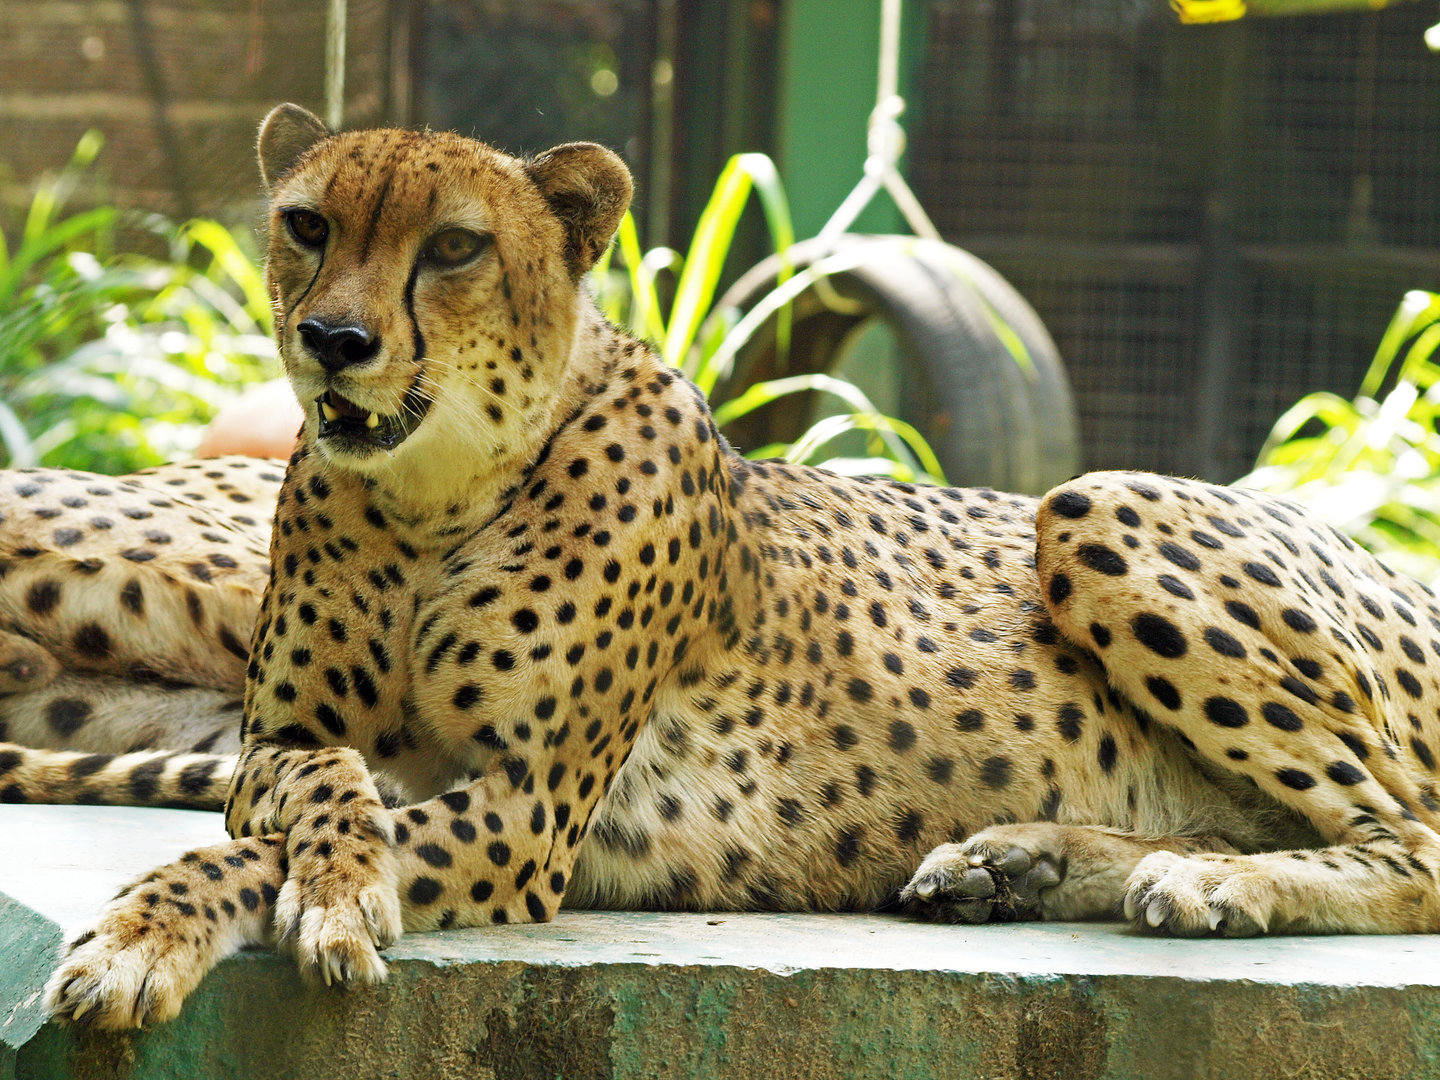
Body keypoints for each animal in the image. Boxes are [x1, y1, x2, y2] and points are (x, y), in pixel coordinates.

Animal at [4, 103, 1437, 1031]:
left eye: (455, 246)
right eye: (306, 223)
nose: (335, 341)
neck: (435, 497)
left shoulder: (529, 813)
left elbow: (265, 857)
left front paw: (181, 927)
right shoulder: (276, 746)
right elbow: (321, 792)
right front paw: (309, 885)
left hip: (1096, 503)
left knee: (1408, 842)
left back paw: (1207, 879)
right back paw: (1017, 863)